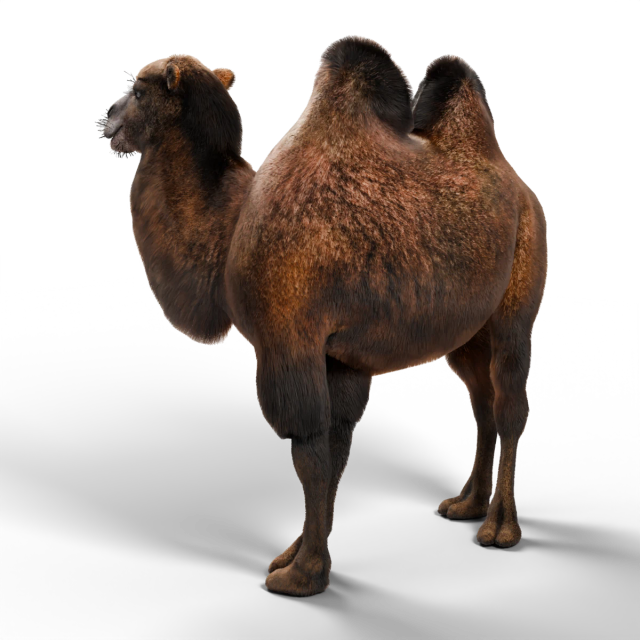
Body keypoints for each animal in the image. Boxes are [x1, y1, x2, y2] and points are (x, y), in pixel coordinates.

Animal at [98, 39, 547, 597]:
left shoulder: (288, 341)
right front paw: (297, 552)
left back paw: (500, 525)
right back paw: (466, 502)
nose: (106, 125)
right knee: (480, 401)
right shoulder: (339, 358)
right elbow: (334, 455)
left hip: (516, 305)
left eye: (138, 90)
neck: (230, 227)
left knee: (510, 406)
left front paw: (303, 573)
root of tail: (520, 186)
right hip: (466, 332)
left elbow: (309, 456)